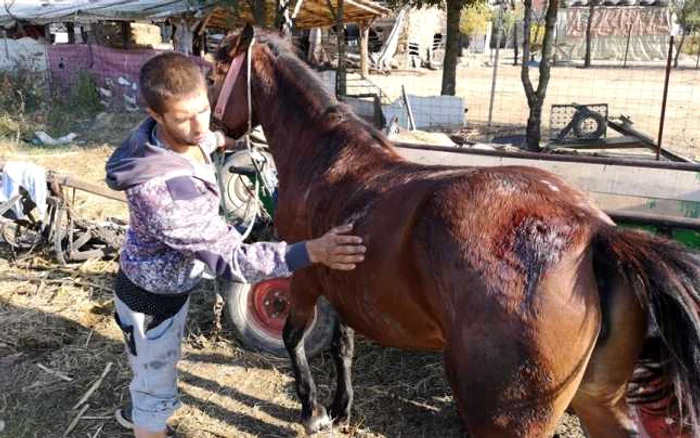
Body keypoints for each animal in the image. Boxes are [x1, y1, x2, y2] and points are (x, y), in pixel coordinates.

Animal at [211, 25, 700, 436]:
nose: (214, 132)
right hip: (599, 403)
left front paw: (313, 411)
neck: (327, 158)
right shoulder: (341, 286)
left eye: (216, 70)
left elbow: (294, 336)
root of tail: (593, 231)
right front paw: (340, 408)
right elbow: (342, 348)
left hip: (507, 419)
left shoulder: (305, 275)